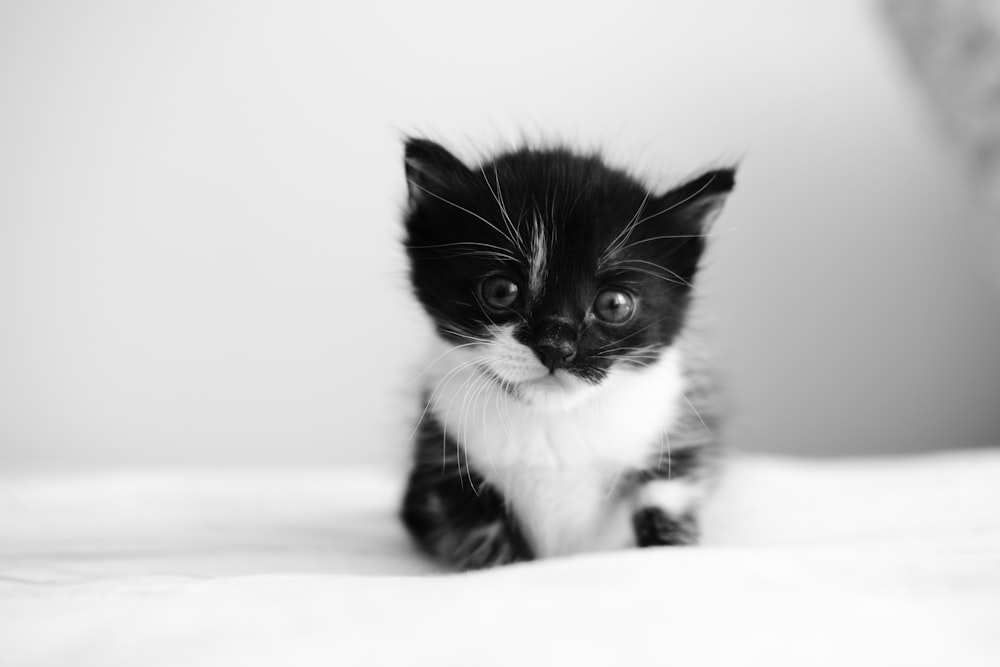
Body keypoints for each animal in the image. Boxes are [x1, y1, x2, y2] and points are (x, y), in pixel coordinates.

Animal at [398, 138, 736, 572]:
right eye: (500, 291)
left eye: (613, 304)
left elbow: (668, 505)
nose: (555, 347)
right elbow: (486, 540)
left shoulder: (672, 442)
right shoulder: (445, 458)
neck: (552, 420)